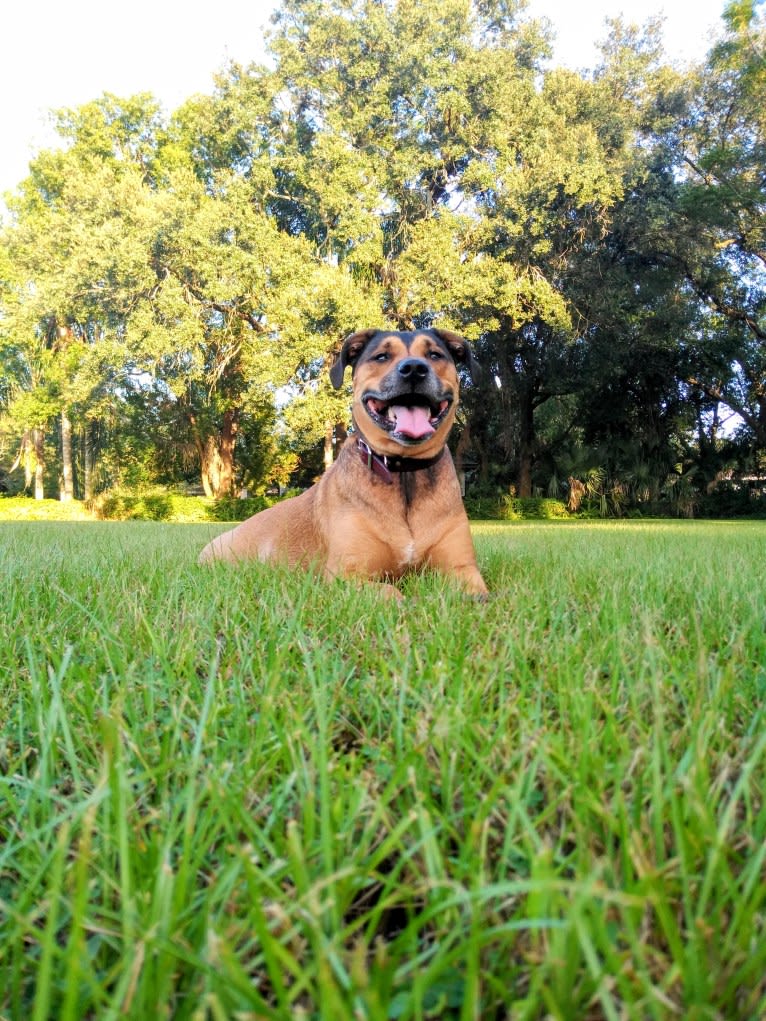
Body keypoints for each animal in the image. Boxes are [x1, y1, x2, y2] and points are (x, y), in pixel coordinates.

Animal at [196, 326, 486, 596]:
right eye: (382, 356)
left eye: (435, 355)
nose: (414, 368)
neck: (404, 471)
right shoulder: (345, 576)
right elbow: (391, 593)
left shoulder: (462, 568)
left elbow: (477, 595)